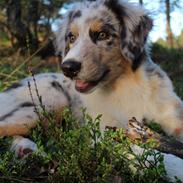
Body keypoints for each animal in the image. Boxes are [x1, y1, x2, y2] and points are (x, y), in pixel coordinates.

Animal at [0, 0, 183, 179]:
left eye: (102, 34)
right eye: (71, 37)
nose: (68, 68)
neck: (125, 85)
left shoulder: (171, 113)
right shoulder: (105, 133)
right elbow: (150, 153)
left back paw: (27, 151)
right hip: (49, 100)